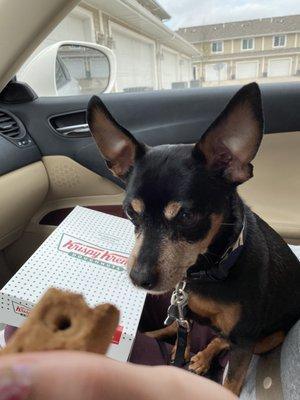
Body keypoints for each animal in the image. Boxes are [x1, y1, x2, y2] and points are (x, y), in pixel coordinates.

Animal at [86, 83, 300, 396]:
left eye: (186, 216)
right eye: (130, 212)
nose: (138, 279)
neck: (208, 270)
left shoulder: (245, 339)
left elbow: (230, 381)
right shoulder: (185, 310)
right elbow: (180, 334)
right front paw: (178, 347)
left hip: (271, 337)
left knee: (222, 339)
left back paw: (202, 356)